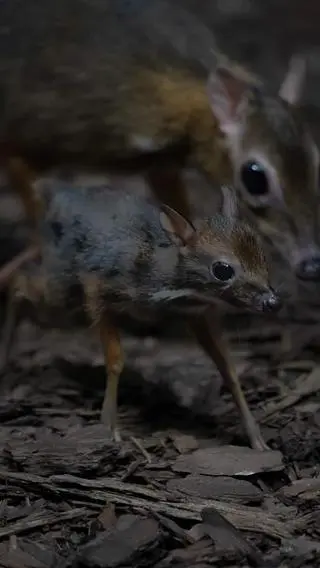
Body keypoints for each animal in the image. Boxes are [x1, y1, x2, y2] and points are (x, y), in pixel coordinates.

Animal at [8, 180, 282, 446]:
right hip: (60, 288)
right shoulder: (97, 288)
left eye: (262, 255)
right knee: (19, 282)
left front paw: (257, 439)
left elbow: (226, 365)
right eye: (223, 269)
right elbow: (115, 360)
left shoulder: (197, 313)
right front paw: (110, 427)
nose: (271, 302)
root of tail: (53, 193)